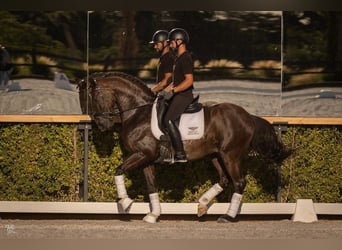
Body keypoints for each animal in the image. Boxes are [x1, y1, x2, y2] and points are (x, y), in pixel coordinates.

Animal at [78, 71, 292, 224]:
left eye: (92, 98)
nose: (102, 125)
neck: (137, 112)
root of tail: (249, 117)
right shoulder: (146, 159)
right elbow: (151, 186)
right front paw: (153, 215)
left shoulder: (142, 154)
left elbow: (118, 170)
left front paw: (125, 202)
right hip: (216, 155)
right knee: (224, 180)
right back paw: (202, 205)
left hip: (231, 155)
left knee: (238, 182)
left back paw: (227, 217)